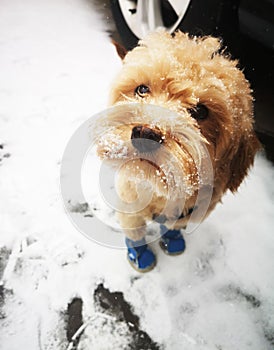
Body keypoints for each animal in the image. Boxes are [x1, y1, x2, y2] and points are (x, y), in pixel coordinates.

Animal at [97, 31, 262, 272]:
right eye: (142, 89)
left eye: (200, 111)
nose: (146, 133)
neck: (160, 193)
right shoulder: (130, 208)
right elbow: (135, 233)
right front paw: (140, 255)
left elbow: (174, 228)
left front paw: (172, 241)